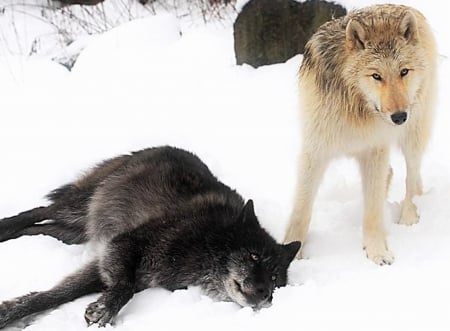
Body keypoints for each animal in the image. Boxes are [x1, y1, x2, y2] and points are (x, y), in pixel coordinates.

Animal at [0, 148, 302, 330]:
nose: (264, 293)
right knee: (40, 211)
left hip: (74, 232)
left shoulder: (106, 263)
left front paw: (10, 311)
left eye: (275, 278)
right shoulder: (124, 245)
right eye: (254, 255)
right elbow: (122, 287)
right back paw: (5, 227)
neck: (206, 242)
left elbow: (58, 294)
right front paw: (105, 310)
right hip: (79, 208)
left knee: (44, 227)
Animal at [284, 3, 436, 266]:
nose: (399, 117)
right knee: (395, 174)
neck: (356, 108)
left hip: (414, 134)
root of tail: (404, 6)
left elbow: (373, 213)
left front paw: (377, 252)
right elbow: (301, 211)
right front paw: (291, 252)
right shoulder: (315, 152)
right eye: (376, 76)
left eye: (403, 71)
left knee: (411, 176)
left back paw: (409, 216)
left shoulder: (376, 150)